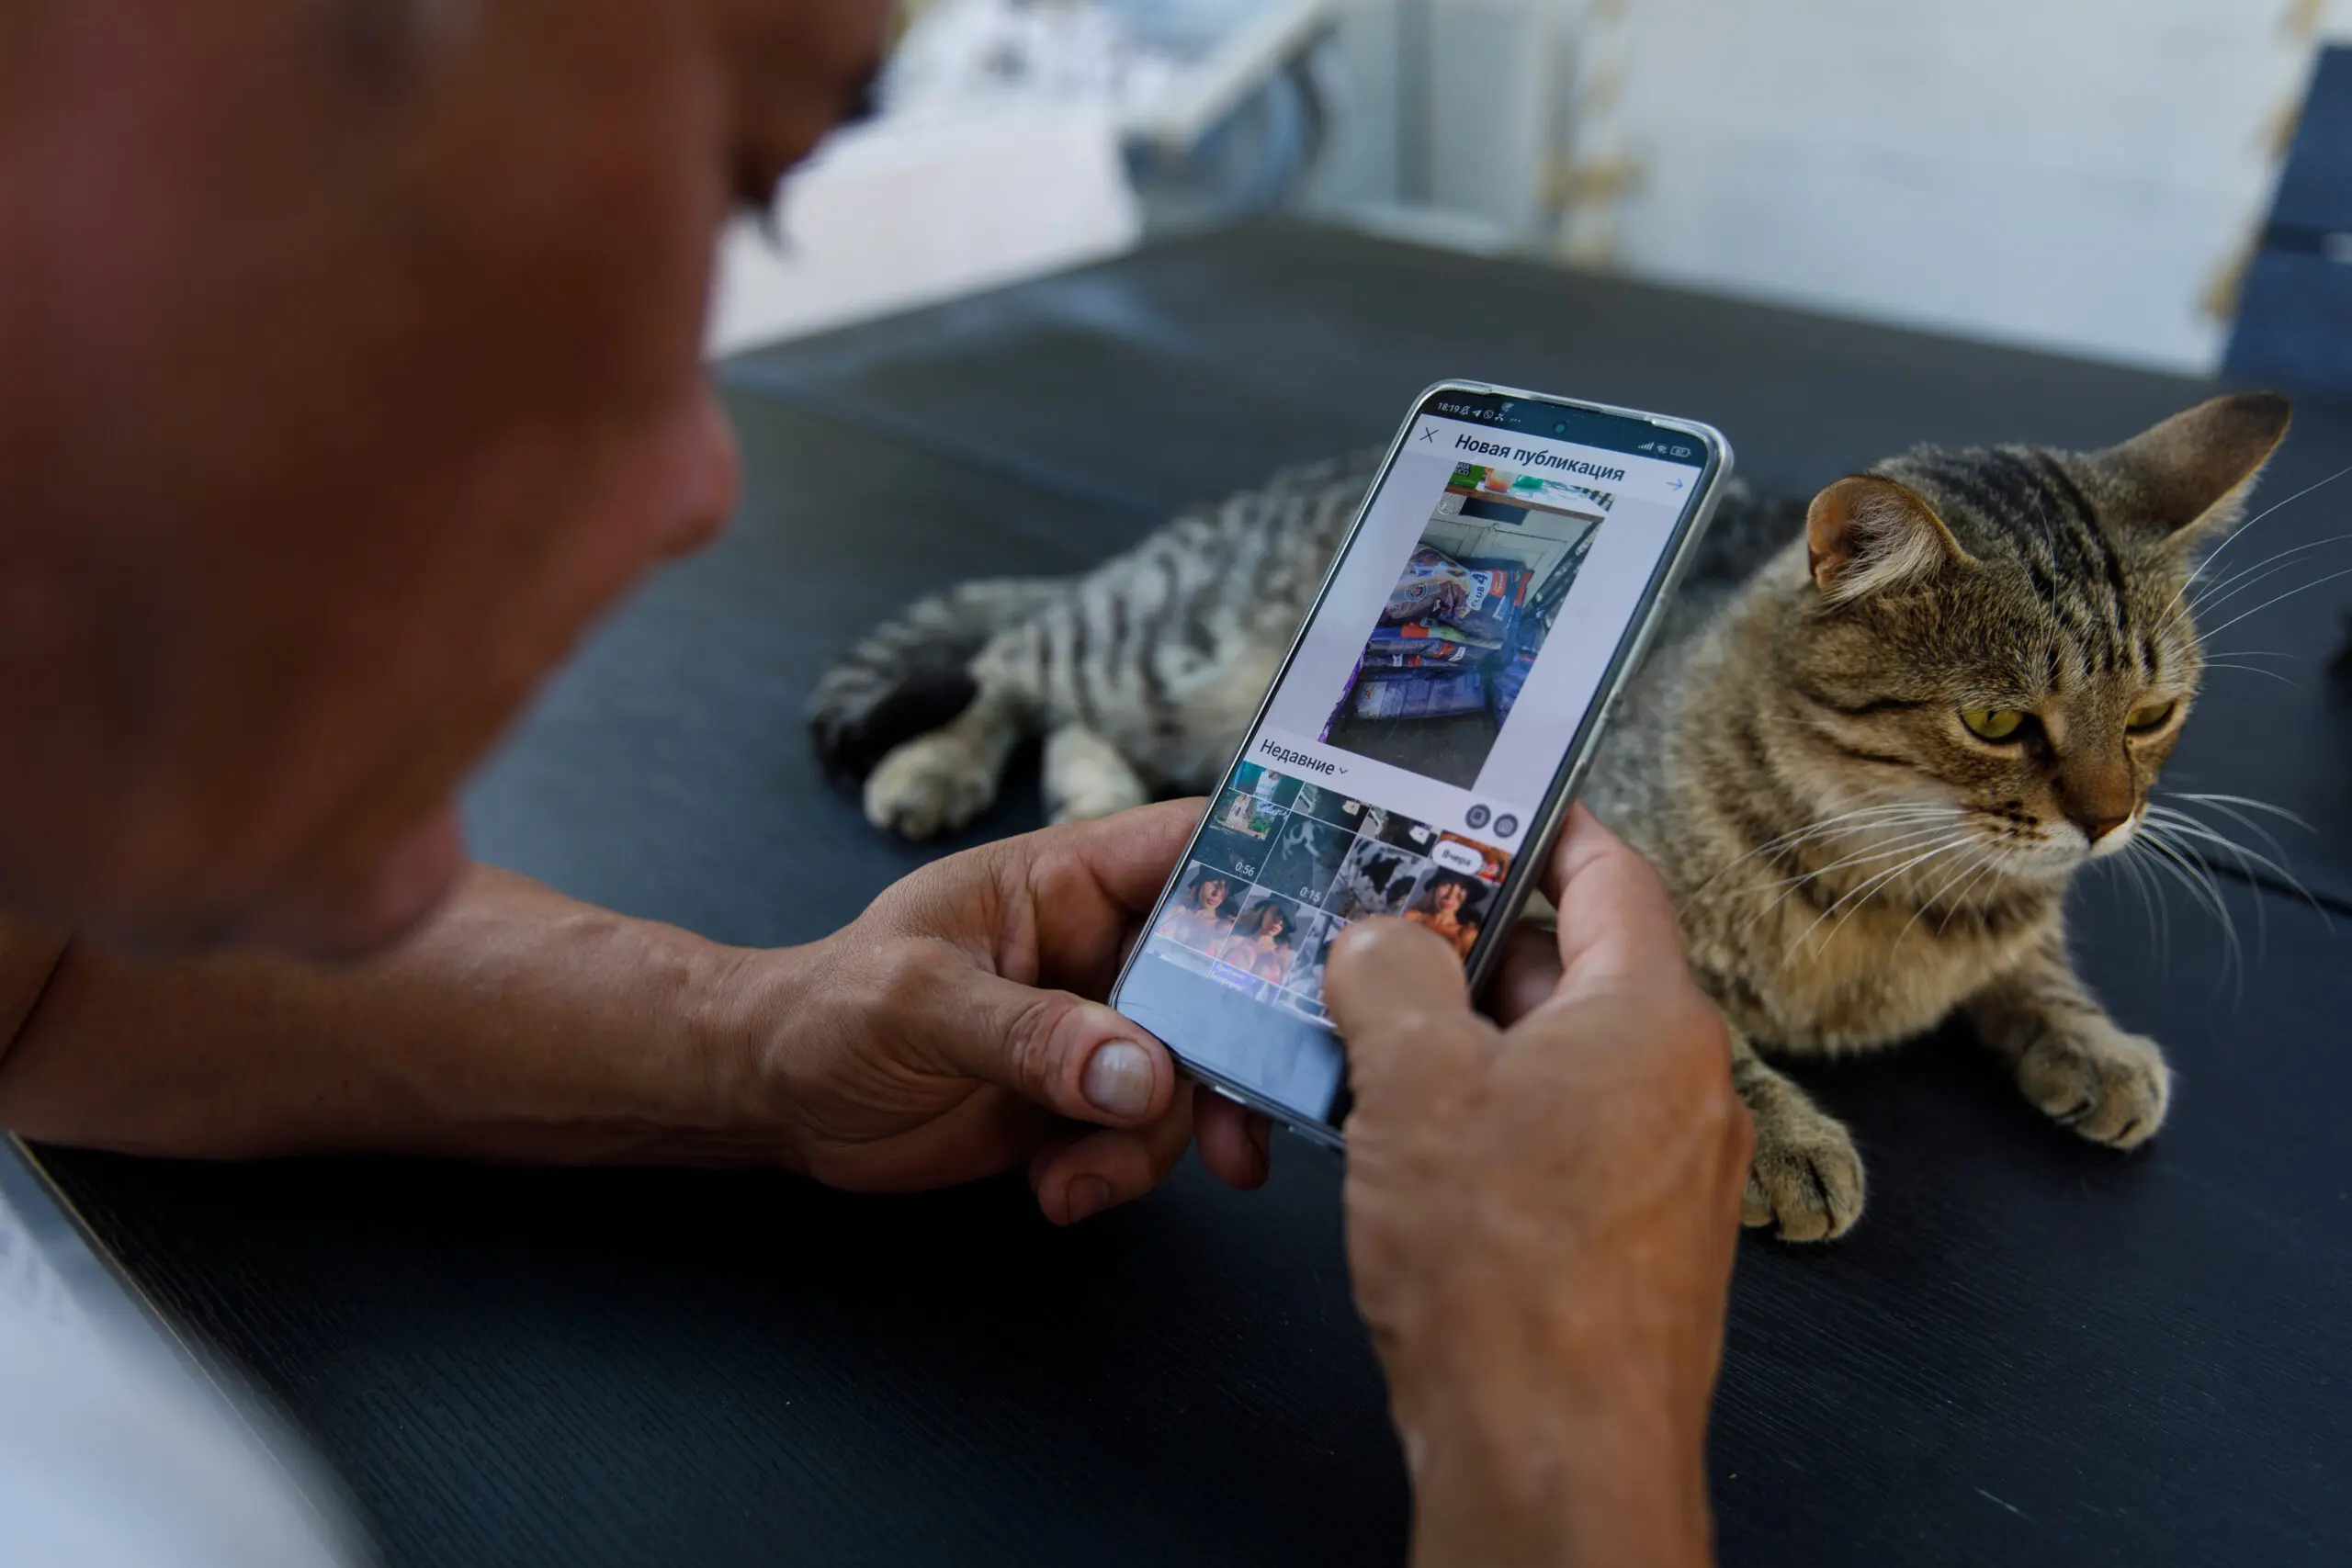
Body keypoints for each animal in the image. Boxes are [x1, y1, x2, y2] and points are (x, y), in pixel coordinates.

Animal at [813, 400, 2295, 1241]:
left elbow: (2034, 961)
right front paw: (1781, 1134)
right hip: (1155, 647)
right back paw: (937, 761)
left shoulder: (2009, 911)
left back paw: (1098, 790)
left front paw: (2089, 1040)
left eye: (2153, 714)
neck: (1893, 878)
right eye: (1995, 721)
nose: (2109, 823)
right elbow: (1705, 1025)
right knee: (1014, 654)